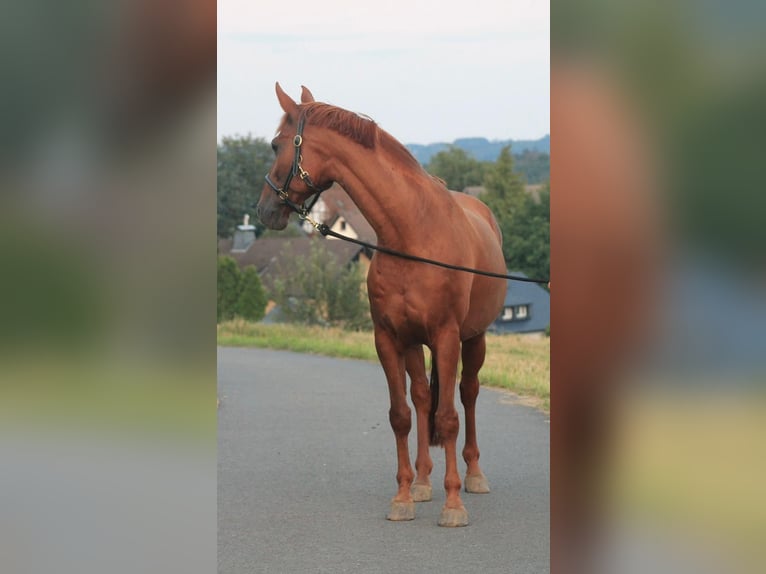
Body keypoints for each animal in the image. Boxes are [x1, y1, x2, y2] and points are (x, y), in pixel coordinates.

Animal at [258, 83, 510, 528]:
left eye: (276, 144)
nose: (265, 209)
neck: (412, 233)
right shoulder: (390, 339)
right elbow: (402, 416)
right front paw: (404, 497)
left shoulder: (447, 337)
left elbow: (448, 418)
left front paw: (453, 506)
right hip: (415, 345)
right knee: (424, 396)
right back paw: (425, 481)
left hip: (474, 339)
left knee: (467, 394)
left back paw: (474, 475)